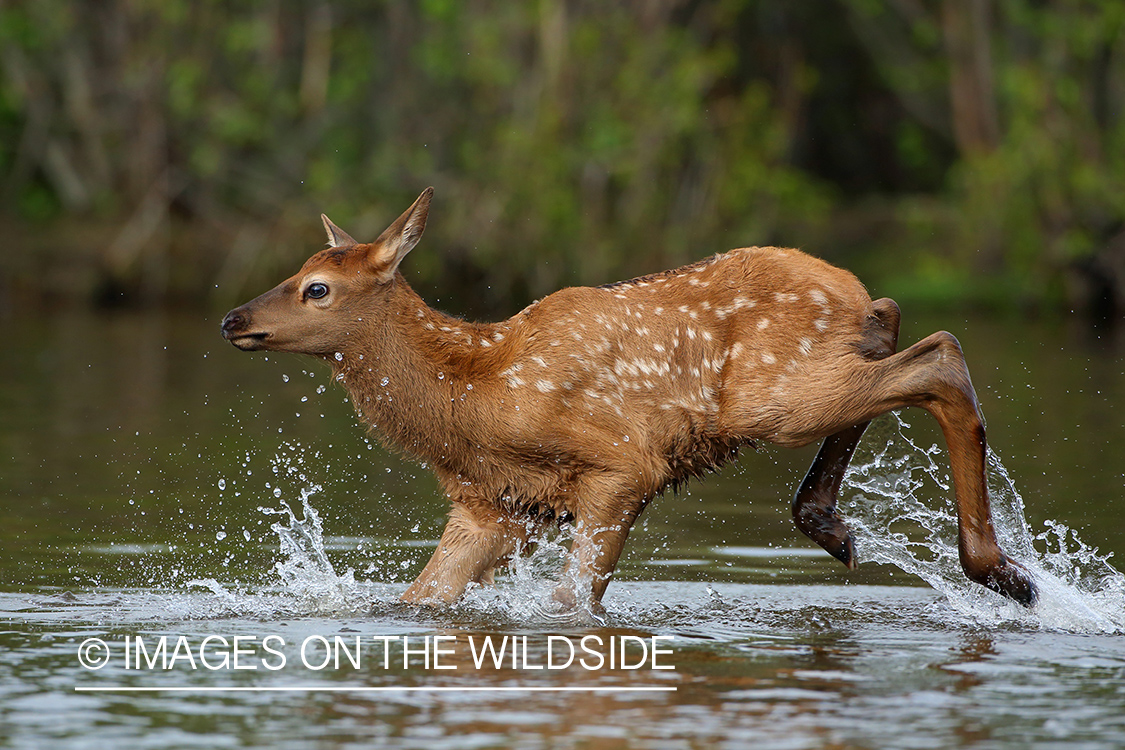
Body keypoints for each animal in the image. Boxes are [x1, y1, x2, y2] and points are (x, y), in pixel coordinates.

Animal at [219, 187, 1035, 611]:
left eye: (316, 288)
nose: (233, 319)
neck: (471, 399)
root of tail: (848, 290)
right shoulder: (493, 509)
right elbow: (416, 599)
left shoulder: (621, 466)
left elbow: (569, 605)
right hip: (811, 375)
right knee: (898, 325)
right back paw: (830, 523)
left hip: (778, 395)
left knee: (939, 356)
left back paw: (1002, 573)